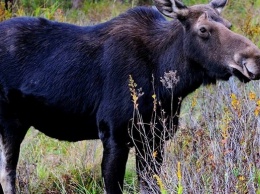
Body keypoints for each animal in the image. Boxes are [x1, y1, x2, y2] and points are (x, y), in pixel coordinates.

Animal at [0, 0, 260, 193]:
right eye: (203, 29)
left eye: (229, 24)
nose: (254, 60)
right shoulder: (114, 135)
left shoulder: (154, 138)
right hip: (10, 123)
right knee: (7, 177)